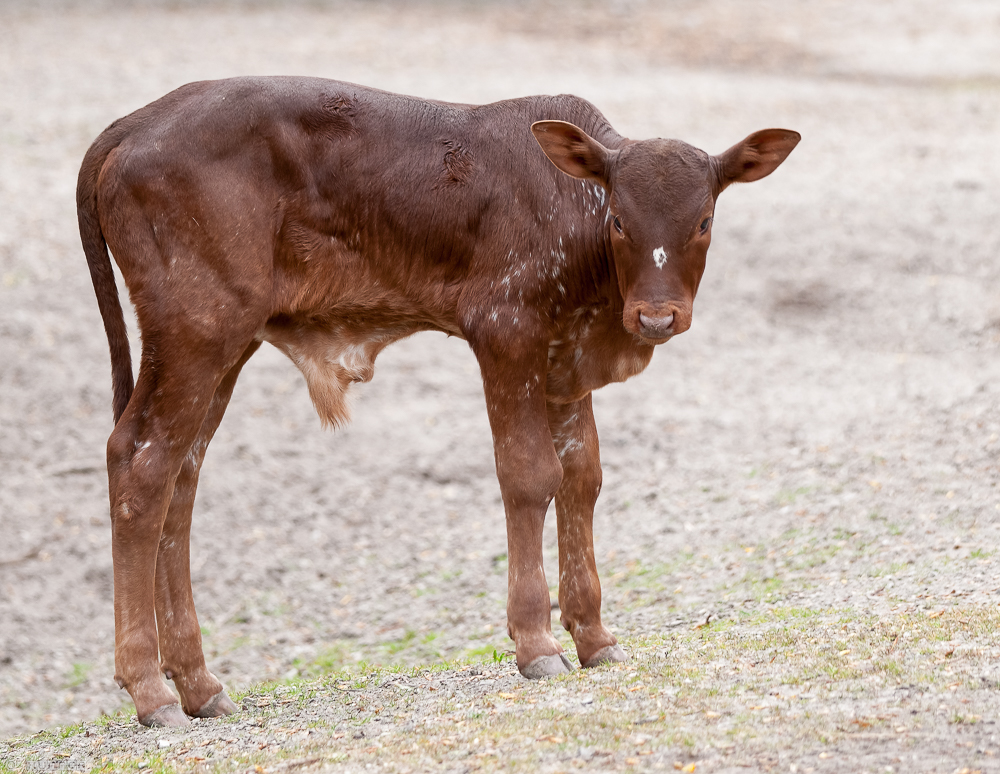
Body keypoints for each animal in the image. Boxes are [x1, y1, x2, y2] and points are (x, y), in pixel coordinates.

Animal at [76, 79, 796, 728]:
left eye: (703, 221)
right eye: (619, 219)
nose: (656, 316)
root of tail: (135, 123)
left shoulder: (565, 362)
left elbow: (582, 478)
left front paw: (594, 637)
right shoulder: (505, 331)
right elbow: (530, 476)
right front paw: (537, 644)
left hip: (227, 345)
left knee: (181, 478)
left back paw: (199, 685)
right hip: (197, 330)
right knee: (140, 466)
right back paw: (152, 691)